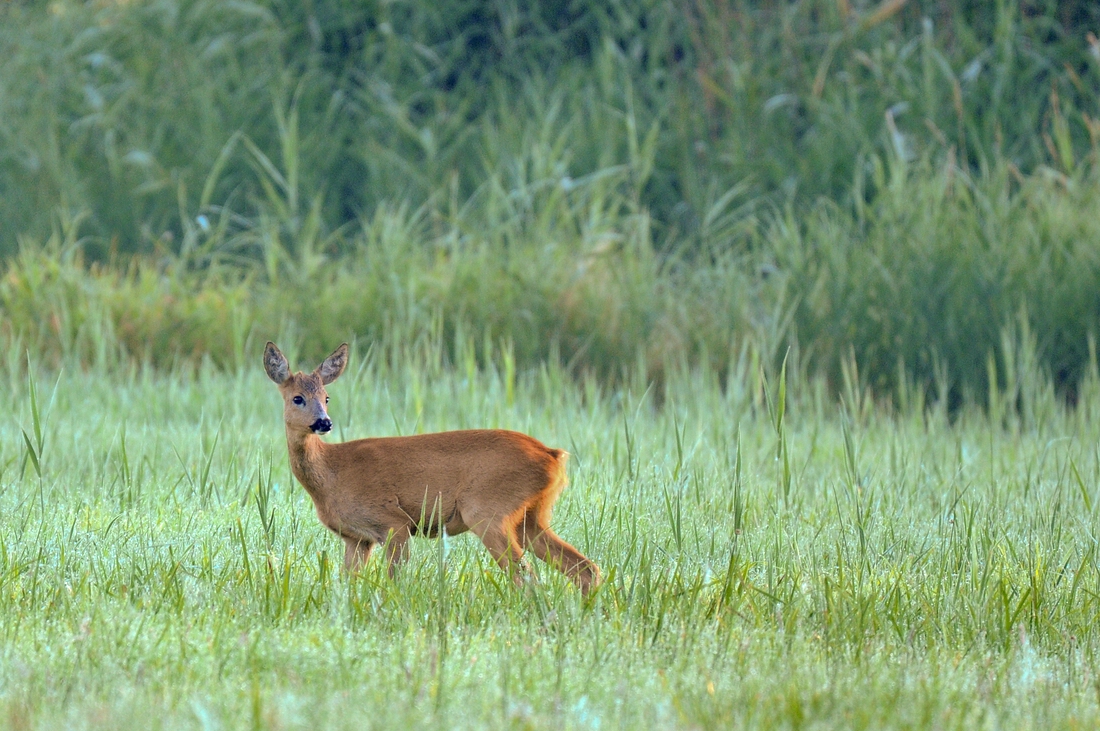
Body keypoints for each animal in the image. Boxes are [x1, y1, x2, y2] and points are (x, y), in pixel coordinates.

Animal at [264, 342, 602, 593]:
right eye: (297, 398)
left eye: (327, 397)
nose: (324, 423)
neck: (331, 474)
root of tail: (553, 456)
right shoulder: (356, 537)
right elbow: (347, 583)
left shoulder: (394, 522)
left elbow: (395, 581)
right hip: (532, 516)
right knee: (585, 568)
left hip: (487, 509)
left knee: (527, 575)